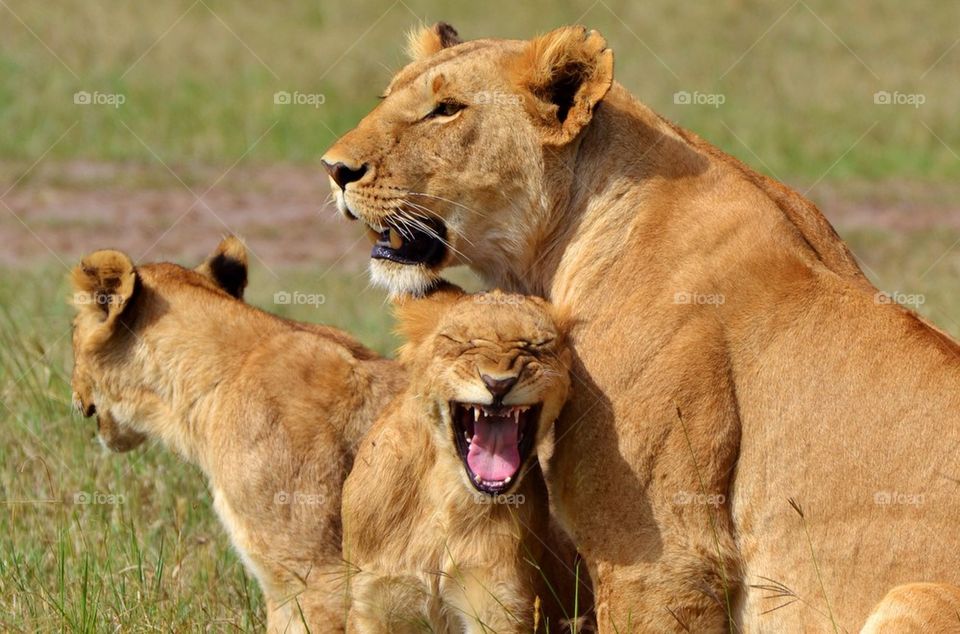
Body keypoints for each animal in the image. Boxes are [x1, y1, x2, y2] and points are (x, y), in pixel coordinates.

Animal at [341, 285, 589, 633]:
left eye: (537, 347)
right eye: (460, 343)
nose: (498, 383)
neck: (446, 496)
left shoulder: (500, 603)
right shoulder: (373, 600)